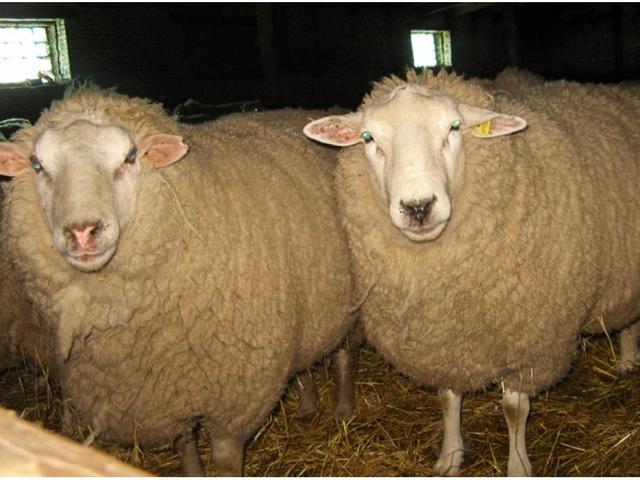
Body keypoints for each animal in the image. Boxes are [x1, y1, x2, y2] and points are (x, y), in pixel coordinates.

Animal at [0, 86, 355, 476]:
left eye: (130, 157)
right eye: (36, 164)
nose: (82, 232)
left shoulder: (236, 396)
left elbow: (226, 459)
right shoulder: (168, 395)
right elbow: (185, 445)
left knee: (343, 355)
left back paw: (343, 409)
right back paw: (307, 404)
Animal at [303, 69, 640, 476]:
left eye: (453, 127)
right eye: (368, 137)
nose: (418, 207)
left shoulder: (530, 341)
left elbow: (514, 410)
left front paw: (518, 467)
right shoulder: (445, 337)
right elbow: (448, 397)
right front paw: (449, 457)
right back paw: (627, 360)